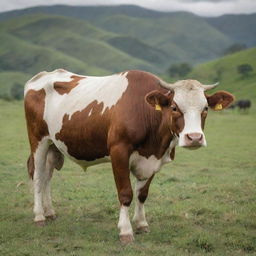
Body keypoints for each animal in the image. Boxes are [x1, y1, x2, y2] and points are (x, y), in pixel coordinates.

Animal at [24, 68, 234, 244]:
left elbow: (142, 194)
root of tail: (43, 75)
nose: (194, 138)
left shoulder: (153, 159)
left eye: (205, 109)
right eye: (174, 107)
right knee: (38, 176)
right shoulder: (119, 152)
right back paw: (39, 216)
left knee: (47, 176)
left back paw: (50, 212)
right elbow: (126, 193)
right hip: (38, 141)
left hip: (54, 145)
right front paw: (126, 231)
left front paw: (141, 224)